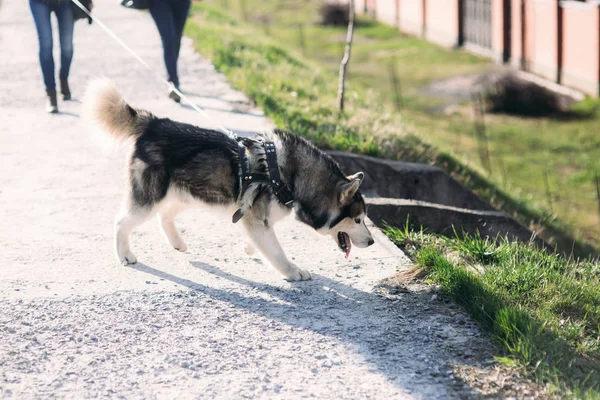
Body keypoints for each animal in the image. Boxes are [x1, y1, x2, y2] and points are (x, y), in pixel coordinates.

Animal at [83, 79, 376, 282]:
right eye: (357, 220)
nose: (372, 242)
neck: (288, 174)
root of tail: (154, 123)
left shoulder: (254, 219)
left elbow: (261, 241)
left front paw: (250, 248)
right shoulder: (257, 218)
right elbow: (277, 251)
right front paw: (293, 271)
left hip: (187, 192)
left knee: (164, 214)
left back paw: (177, 242)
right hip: (151, 197)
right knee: (122, 222)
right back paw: (124, 254)